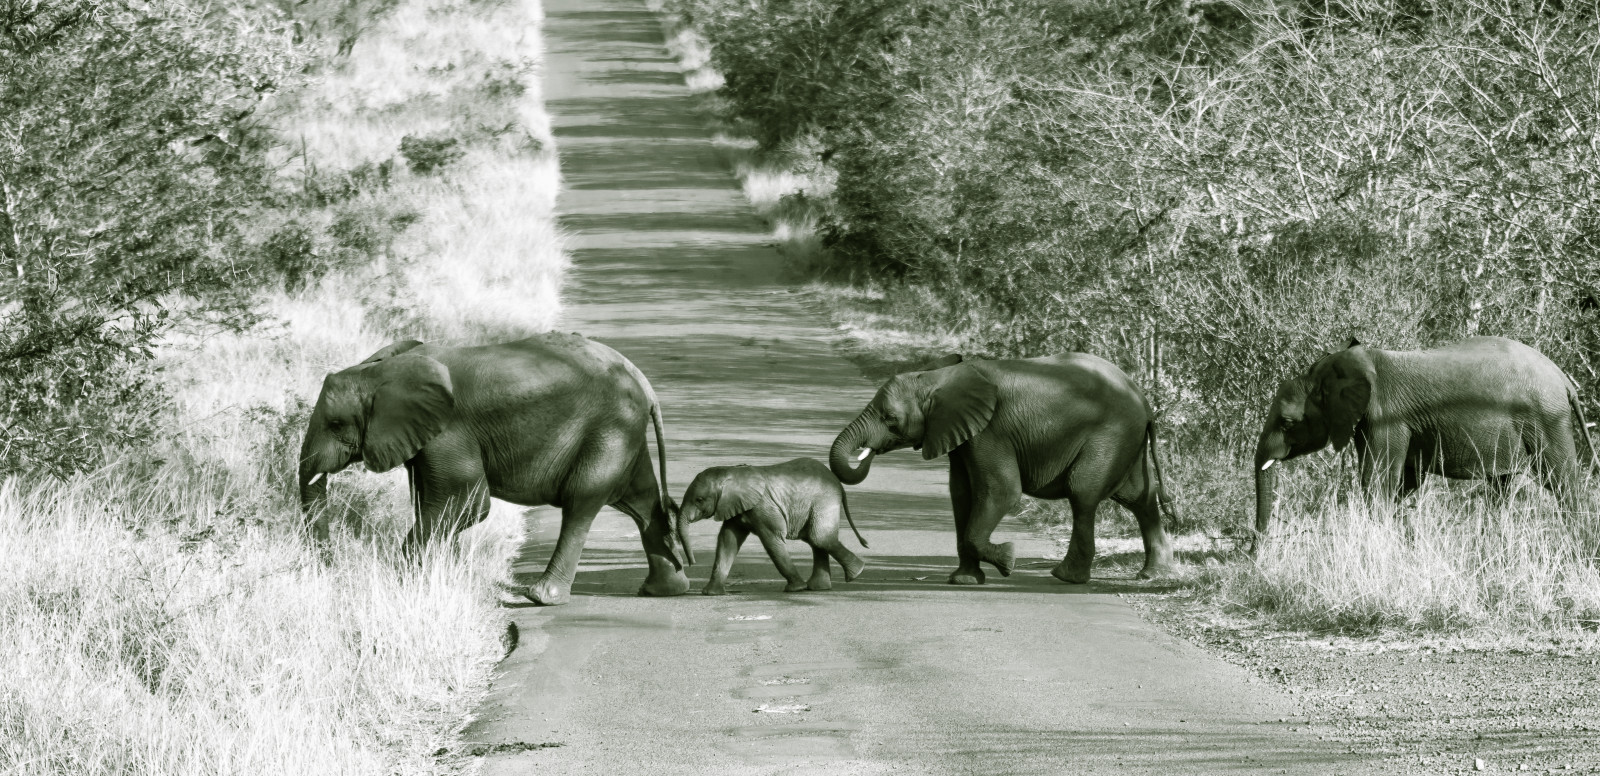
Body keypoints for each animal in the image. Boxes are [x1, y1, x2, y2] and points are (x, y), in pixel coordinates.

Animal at [297, 333, 693, 605]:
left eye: (335, 424)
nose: (331, 569)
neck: (379, 371)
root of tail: (643, 382)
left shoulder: (450, 432)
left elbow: (468, 502)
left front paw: (405, 583)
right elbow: (433, 504)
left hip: (607, 428)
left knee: (581, 502)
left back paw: (541, 597)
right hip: (623, 430)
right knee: (640, 501)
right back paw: (663, 590)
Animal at [678, 458, 869, 595]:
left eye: (699, 500)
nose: (691, 563)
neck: (731, 472)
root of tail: (838, 483)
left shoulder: (762, 506)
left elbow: (771, 540)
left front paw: (795, 589)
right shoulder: (736, 507)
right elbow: (727, 541)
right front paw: (710, 593)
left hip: (824, 500)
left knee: (820, 538)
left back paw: (856, 573)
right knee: (815, 540)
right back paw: (820, 587)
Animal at [828, 353, 1178, 585]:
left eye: (889, 418)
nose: (866, 453)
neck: (938, 378)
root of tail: (1146, 403)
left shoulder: (990, 431)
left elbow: (1000, 491)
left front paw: (1008, 560)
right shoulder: (962, 435)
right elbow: (962, 495)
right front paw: (965, 581)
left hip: (1110, 434)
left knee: (1083, 492)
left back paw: (1066, 577)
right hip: (1127, 440)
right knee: (1140, 497)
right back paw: (1152, 574)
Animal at [1253, 336, 1600, 549]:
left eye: (1287, 423)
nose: (1255, 556)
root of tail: (1563, 378)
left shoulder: (1387, 416)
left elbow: (1378, 479)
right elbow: (1405, 480)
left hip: (1546, 419)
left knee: (1561, 481)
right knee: (1501, 486)